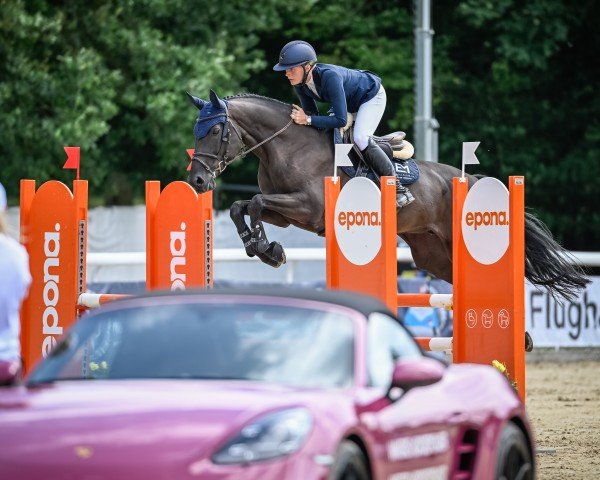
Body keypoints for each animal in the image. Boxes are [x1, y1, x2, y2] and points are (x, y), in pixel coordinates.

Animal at [186, 89, 584, 300]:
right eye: (196, 131)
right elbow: (240, 206)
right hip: (431, 254)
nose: (198, 183)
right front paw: (261, 246)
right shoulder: (286, 212)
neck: (286, 146)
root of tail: (469, 180)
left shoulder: (308, 208)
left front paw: (267, 249)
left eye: (216, 130)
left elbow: (254, 202)